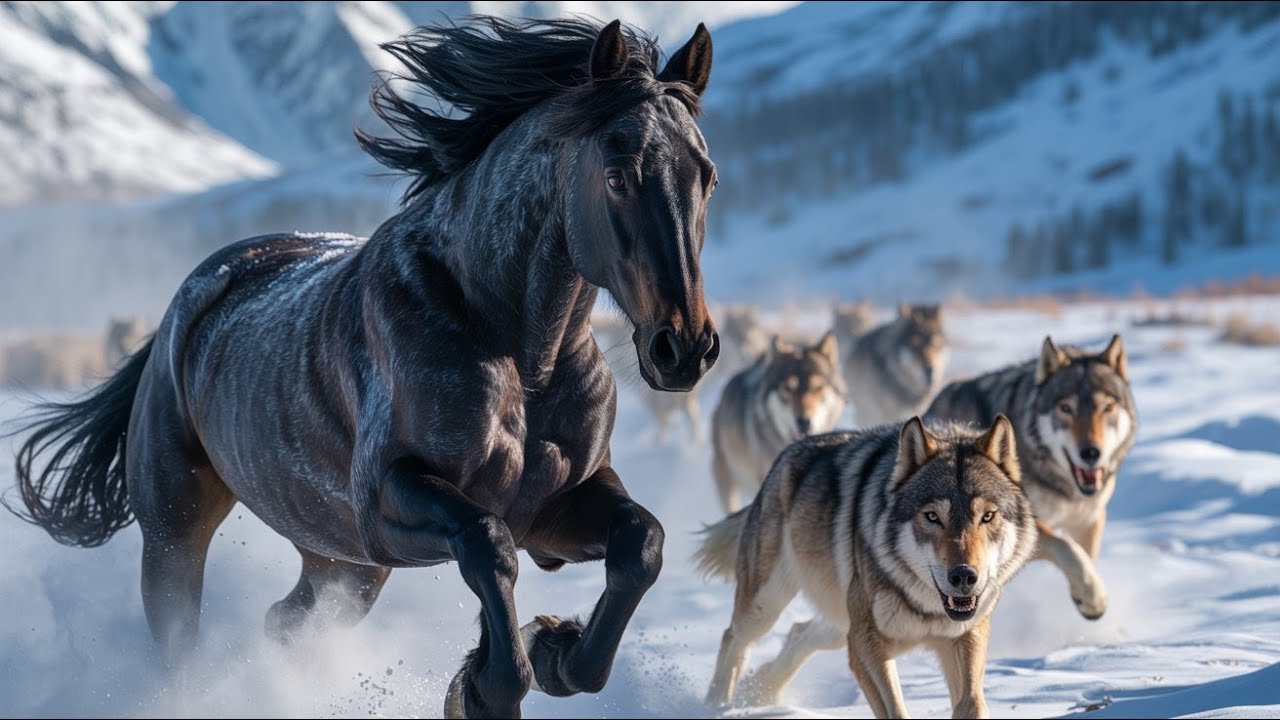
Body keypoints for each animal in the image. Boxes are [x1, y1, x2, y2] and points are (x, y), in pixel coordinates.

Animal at [7, 17, 718, 718]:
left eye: (706, 176)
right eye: (618, 175)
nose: (683, 348)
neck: (519, 354)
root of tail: (189, 304)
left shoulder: (556, 510)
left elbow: (640, 545)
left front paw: (552, 652)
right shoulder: (389, 504)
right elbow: (488, 546)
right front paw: (488, 683)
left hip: (341, 565)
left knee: (285, 622)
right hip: (178, 530)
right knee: (181, 636)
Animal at [697, 416, 1036, 718]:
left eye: (987, 516)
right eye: (932, 517)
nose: (964, 575)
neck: (927, 608)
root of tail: (785, 453)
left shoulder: (966, 636)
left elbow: (974, 705)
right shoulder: (866, 645)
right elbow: (895, 711)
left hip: (837, 626)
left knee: (798, 632)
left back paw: (759, 694)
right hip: (767, 607)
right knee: (733, 638)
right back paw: (716, 706)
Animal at [926, 334, 1135, 620]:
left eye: (1108, 407)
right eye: (1066, 408)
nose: (1091, 453)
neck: (1062, 488)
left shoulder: (1089, 517)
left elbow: (1086, 556)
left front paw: (1083, 595)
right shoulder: (1026, 525)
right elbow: (1067, 547)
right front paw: (1093, 598)